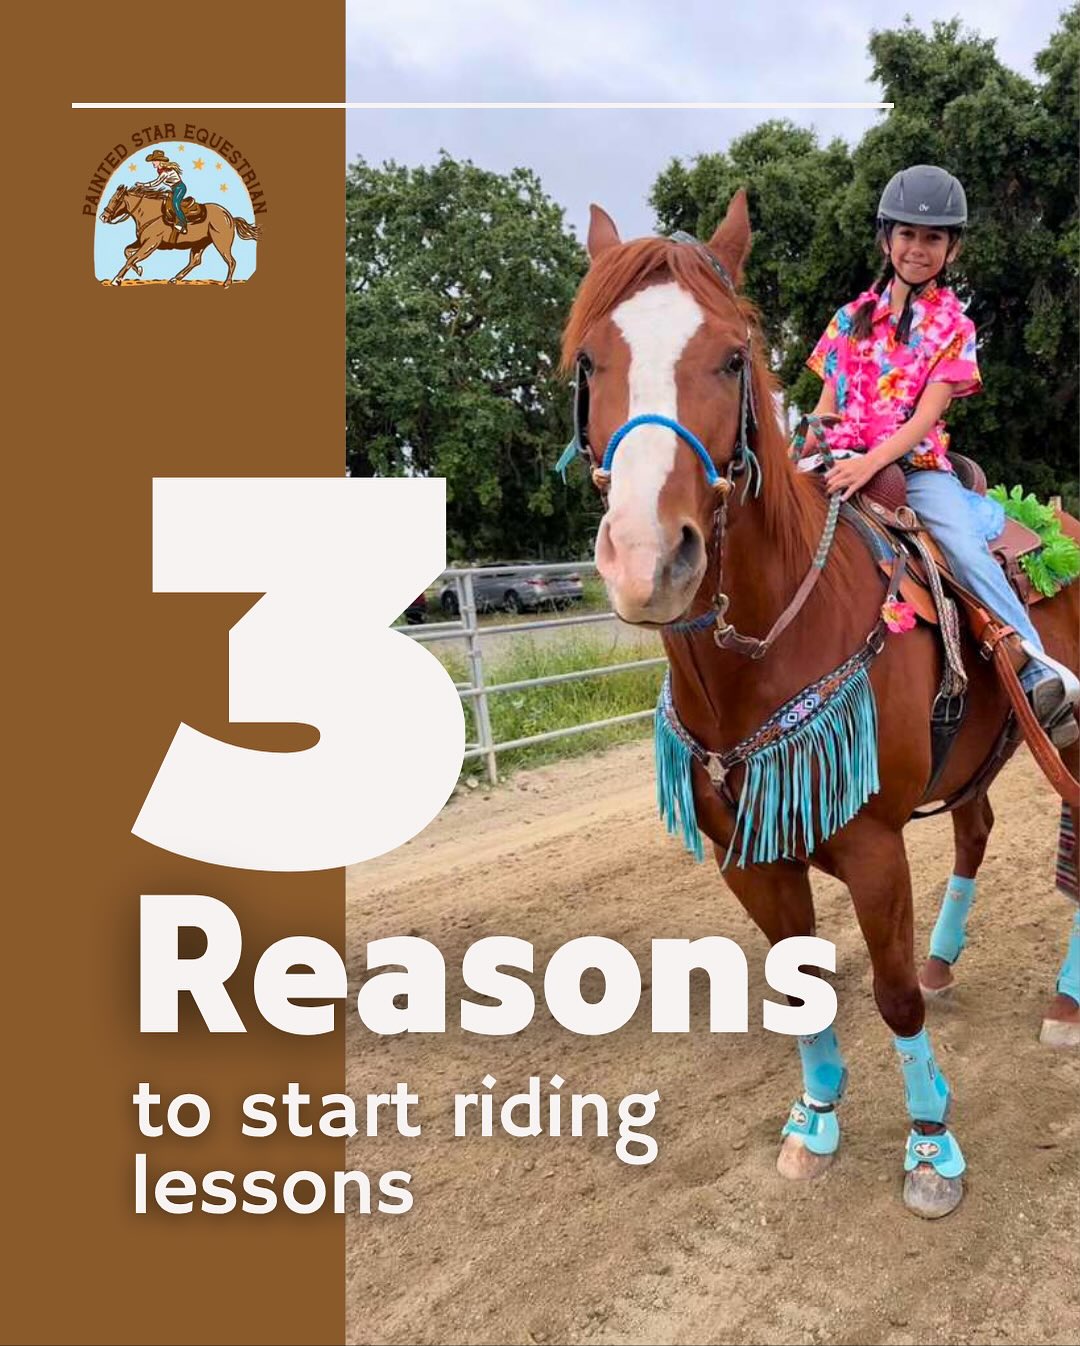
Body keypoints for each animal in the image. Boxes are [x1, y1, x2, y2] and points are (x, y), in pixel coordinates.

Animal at [98, 185, 260, 287]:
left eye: (115, 200)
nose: (103, 217)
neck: (151, 214)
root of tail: (230, 217)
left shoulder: (151, 244)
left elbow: (131, 258)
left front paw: (117, 280)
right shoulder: (141, 242)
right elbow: (127, 252)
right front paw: (138, 269)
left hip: (221, 243)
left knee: (231, 261)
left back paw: (226, 283)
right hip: (199, 244)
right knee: (195, 261)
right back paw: (175, 279)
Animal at [563, 189, 1080, 1218]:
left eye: (730, 358)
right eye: (591, 361)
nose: (649, 561)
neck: (762, 653)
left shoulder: (875, 850)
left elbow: (891, 994)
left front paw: (931, 1147)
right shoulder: (751, 857)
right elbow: (799, 989)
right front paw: (816, 1122)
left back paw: (1063, 1004)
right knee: (976, 828)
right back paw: (949, 957)